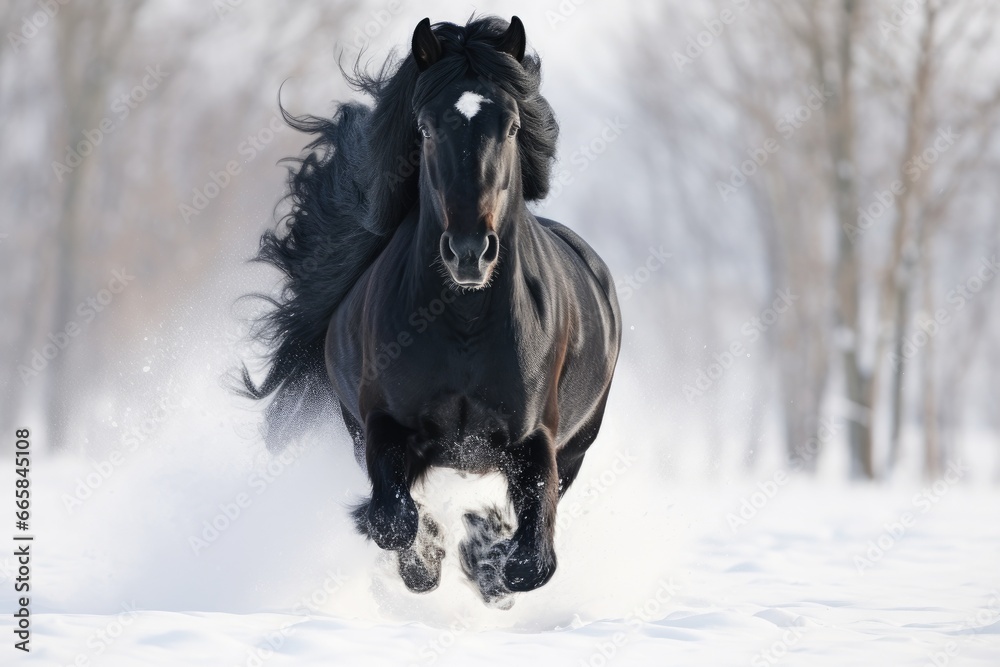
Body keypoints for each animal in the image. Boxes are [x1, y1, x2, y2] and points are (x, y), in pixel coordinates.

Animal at [240, 15, 621, 606]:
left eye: (512, 126)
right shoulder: (382, 424)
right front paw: (433, 556)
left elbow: (532, 561)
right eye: (425, 129)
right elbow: (392, 520)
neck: (464, 324)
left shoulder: (538, 441)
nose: (468, 251)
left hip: (578, 447)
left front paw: (485, 559)